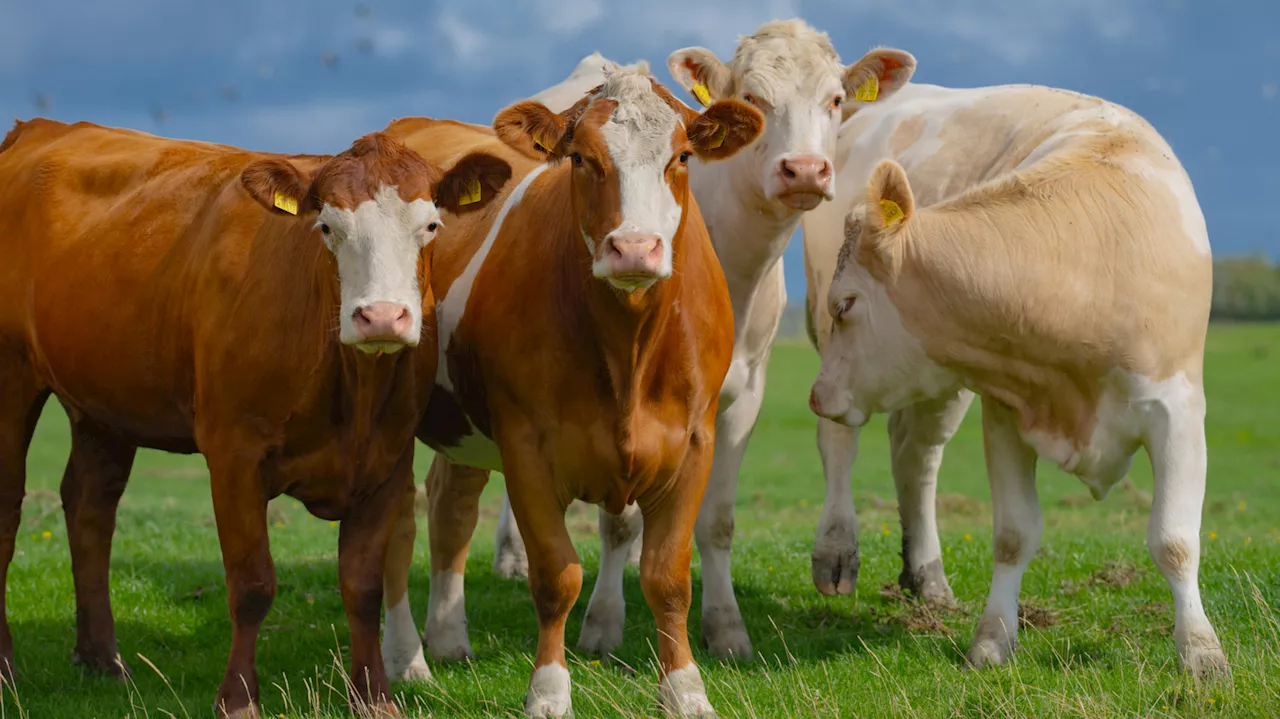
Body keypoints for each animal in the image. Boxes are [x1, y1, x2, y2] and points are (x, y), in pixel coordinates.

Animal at [0, 119, 511, 716]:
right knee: (9, 514)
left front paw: (374, 697)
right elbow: (252, 586)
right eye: (326, 226)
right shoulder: (234, 457)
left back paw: (103, 659)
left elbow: (363, 586)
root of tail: (42, 128)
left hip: (104, 400)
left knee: (89, 506)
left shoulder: (387, 458)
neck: (350, 392)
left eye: (431, 225)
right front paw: (239, 698)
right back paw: (7, 668)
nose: (382, 317)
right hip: (11, 377)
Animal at [377, 63, 763, 716]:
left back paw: (449, 638)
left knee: (451, 507)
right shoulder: (526, 446)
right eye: (581, 158)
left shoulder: (694, 442)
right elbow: (557, 576)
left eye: (682, 156)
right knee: (396, 528)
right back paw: (407, 659)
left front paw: (686, 689)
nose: (634, 248)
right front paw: (549, 691)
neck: (628, 349)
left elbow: (667, 577)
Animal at [481, 19, 918, 659]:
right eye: (754, 97)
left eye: (836, 100)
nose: (805, 170)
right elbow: (617, 521)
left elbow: (716, 521)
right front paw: (603, 623)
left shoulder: (741, 397)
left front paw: (725, 626)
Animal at [805, 84, 1228, 678]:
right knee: (842, 443)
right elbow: (1012, 535)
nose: (816, 396)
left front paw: (1201, 651)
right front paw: (992, 639)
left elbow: (1175, 540)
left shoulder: (1180, 414)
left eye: (846, 304)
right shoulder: (1003, 414)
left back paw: (925, 576)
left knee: (916, 457)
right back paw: (838, 551)